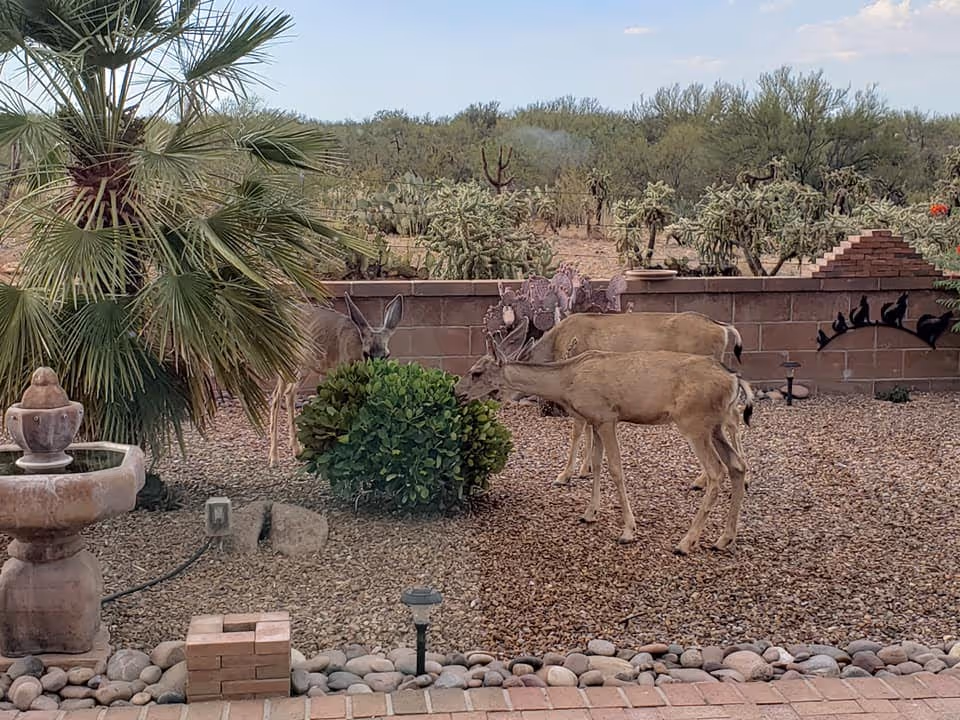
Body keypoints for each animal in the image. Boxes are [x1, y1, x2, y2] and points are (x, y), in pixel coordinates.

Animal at [266, 292, 404, 468]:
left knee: (290, 392)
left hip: (305, 366)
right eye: (366, 353)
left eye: (387, 355)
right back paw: (274, 458)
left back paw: (297, 450)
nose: (377, 371)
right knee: (276, 396)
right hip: (285, 358)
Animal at [509, 311, 746, 491]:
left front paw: (565, 475)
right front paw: (585, 469)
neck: (556, 344)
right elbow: (588, 429)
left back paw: (704, 480)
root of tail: (722, 328)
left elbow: (577, 429)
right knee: (733, 417)